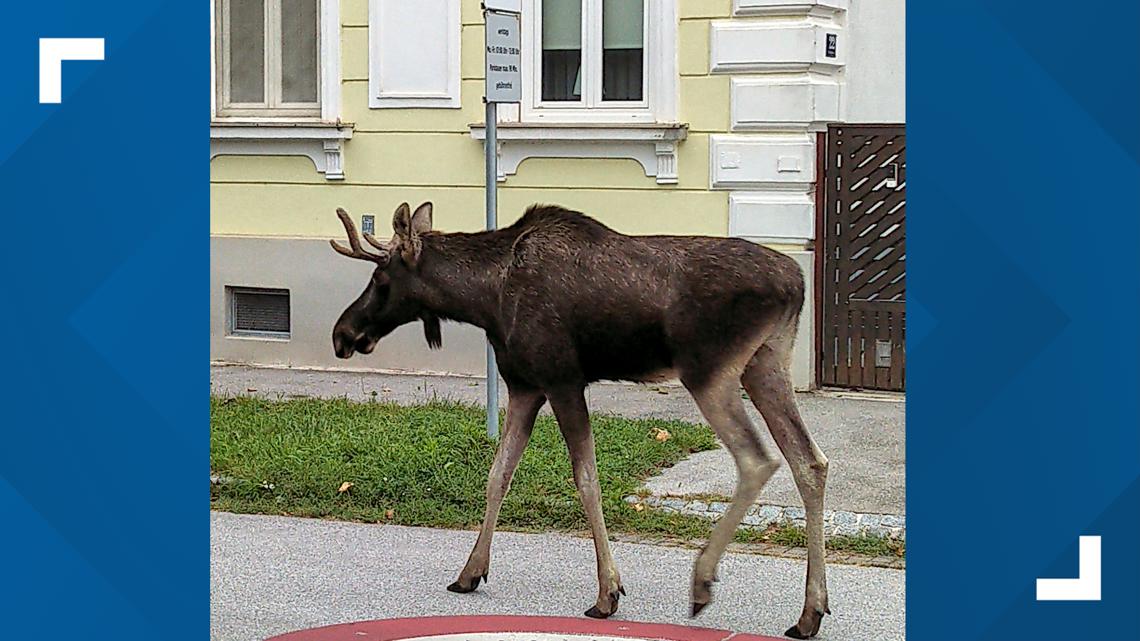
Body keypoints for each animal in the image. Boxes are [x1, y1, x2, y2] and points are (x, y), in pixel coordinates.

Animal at [329, 201, 831, 639]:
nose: (343, 334)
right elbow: (498, 475)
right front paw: (470, 572)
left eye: (380, 278)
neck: (485, 300)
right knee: (811, 461)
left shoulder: (562, 380)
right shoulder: (525, 387)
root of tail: (798, 283)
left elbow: (586, 478)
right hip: (766, 362)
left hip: (710, 371)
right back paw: (809, 613)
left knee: (758, 459)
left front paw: (608, 592)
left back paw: (703, 582)